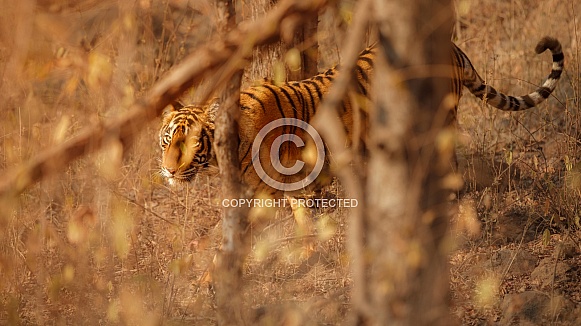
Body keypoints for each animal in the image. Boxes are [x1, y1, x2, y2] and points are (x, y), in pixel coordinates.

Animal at [159, 37, 560, 197]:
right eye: (166, 141)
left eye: (193, 143)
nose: (169, 170)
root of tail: (449, 44)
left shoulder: (294, 186)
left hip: (439, 118)